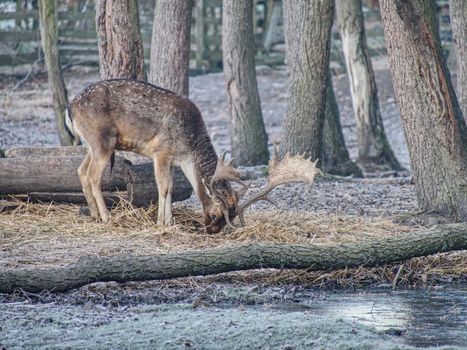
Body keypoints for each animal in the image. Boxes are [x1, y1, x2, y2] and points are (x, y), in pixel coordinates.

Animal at [69, 79, 324, 232]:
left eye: (231, 216)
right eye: (216, 212)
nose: (212, 231)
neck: (188, 149)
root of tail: (70, 108)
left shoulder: (175, 160)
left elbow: (171, 188)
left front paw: (168, 221)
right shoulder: (161, 151)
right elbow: (163, 187)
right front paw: (161, 223)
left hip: (93, 144)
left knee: (80, 170)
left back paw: (93, 214)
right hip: (103, 141)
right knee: (93, 175)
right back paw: (106, 217)